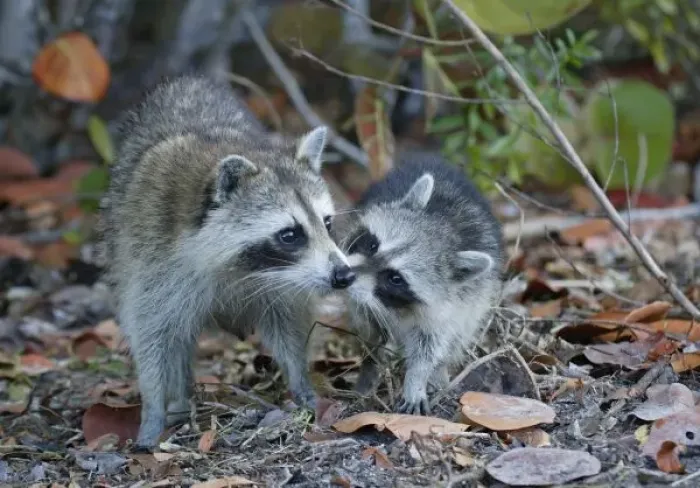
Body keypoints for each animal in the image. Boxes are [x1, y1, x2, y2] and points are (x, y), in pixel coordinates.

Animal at [101, 75, 356, 447]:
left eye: (326, 223)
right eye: (290, 234)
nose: (344, 275)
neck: (240, 267)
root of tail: (187, 81)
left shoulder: (284, 281)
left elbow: (288, 324)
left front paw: (300, 380)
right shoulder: (152, 259)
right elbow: (152, 335)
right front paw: (153, 409)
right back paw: (179, 400)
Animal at [341, 152, 504, 415]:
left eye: (395, 278)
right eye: (373, 245)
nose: (343, 275)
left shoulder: (452, 304)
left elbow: (430, 345)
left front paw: (417, 378)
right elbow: (369, 330)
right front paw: (369, 368)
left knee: (460, 334)